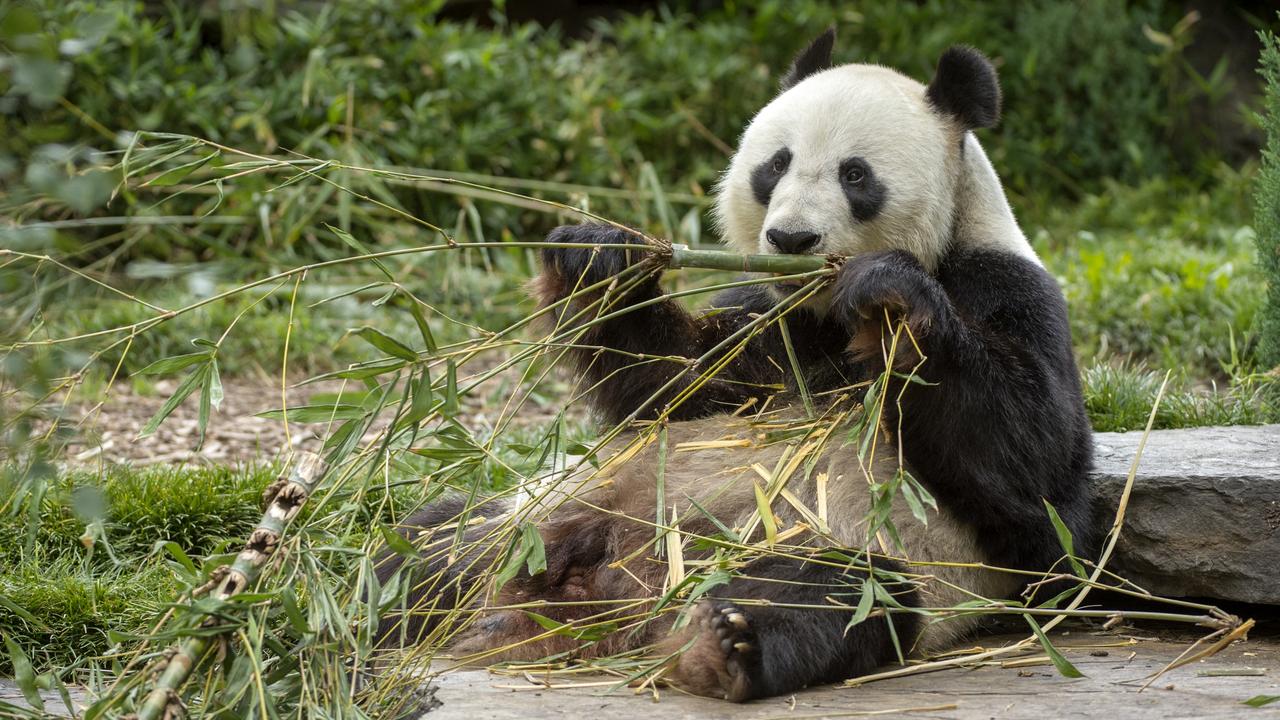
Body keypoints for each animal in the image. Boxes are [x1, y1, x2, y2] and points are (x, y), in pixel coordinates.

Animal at [373, 32, 1095, 702]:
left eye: (855, 175)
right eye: (775, 164)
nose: (791, 240)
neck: (821, 311)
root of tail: (612, 595)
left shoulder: (1003, 286)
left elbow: (1035, 477)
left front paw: (891, 296)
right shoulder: (764, 322)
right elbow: (675, 390)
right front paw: (599, 260)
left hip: (844, 551)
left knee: (832, 593)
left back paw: (720, 643)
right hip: (544, 508)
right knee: (434, 542)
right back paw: (386, 600)